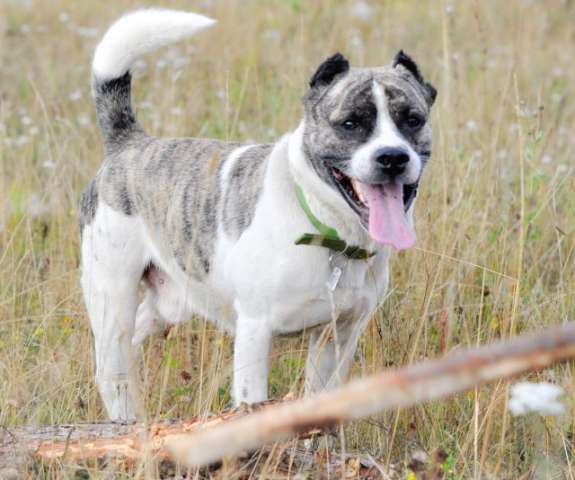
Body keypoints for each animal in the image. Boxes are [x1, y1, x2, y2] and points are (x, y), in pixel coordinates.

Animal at [80, 8, 436, 420]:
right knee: (111, 370)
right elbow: (253, 403)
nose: (392, 157)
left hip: (167, 305)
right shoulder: (255, 332)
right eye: (350, 123)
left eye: (413, 119)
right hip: (112, 298)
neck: (325, 229)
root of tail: (129, 143)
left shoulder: (338, 336)